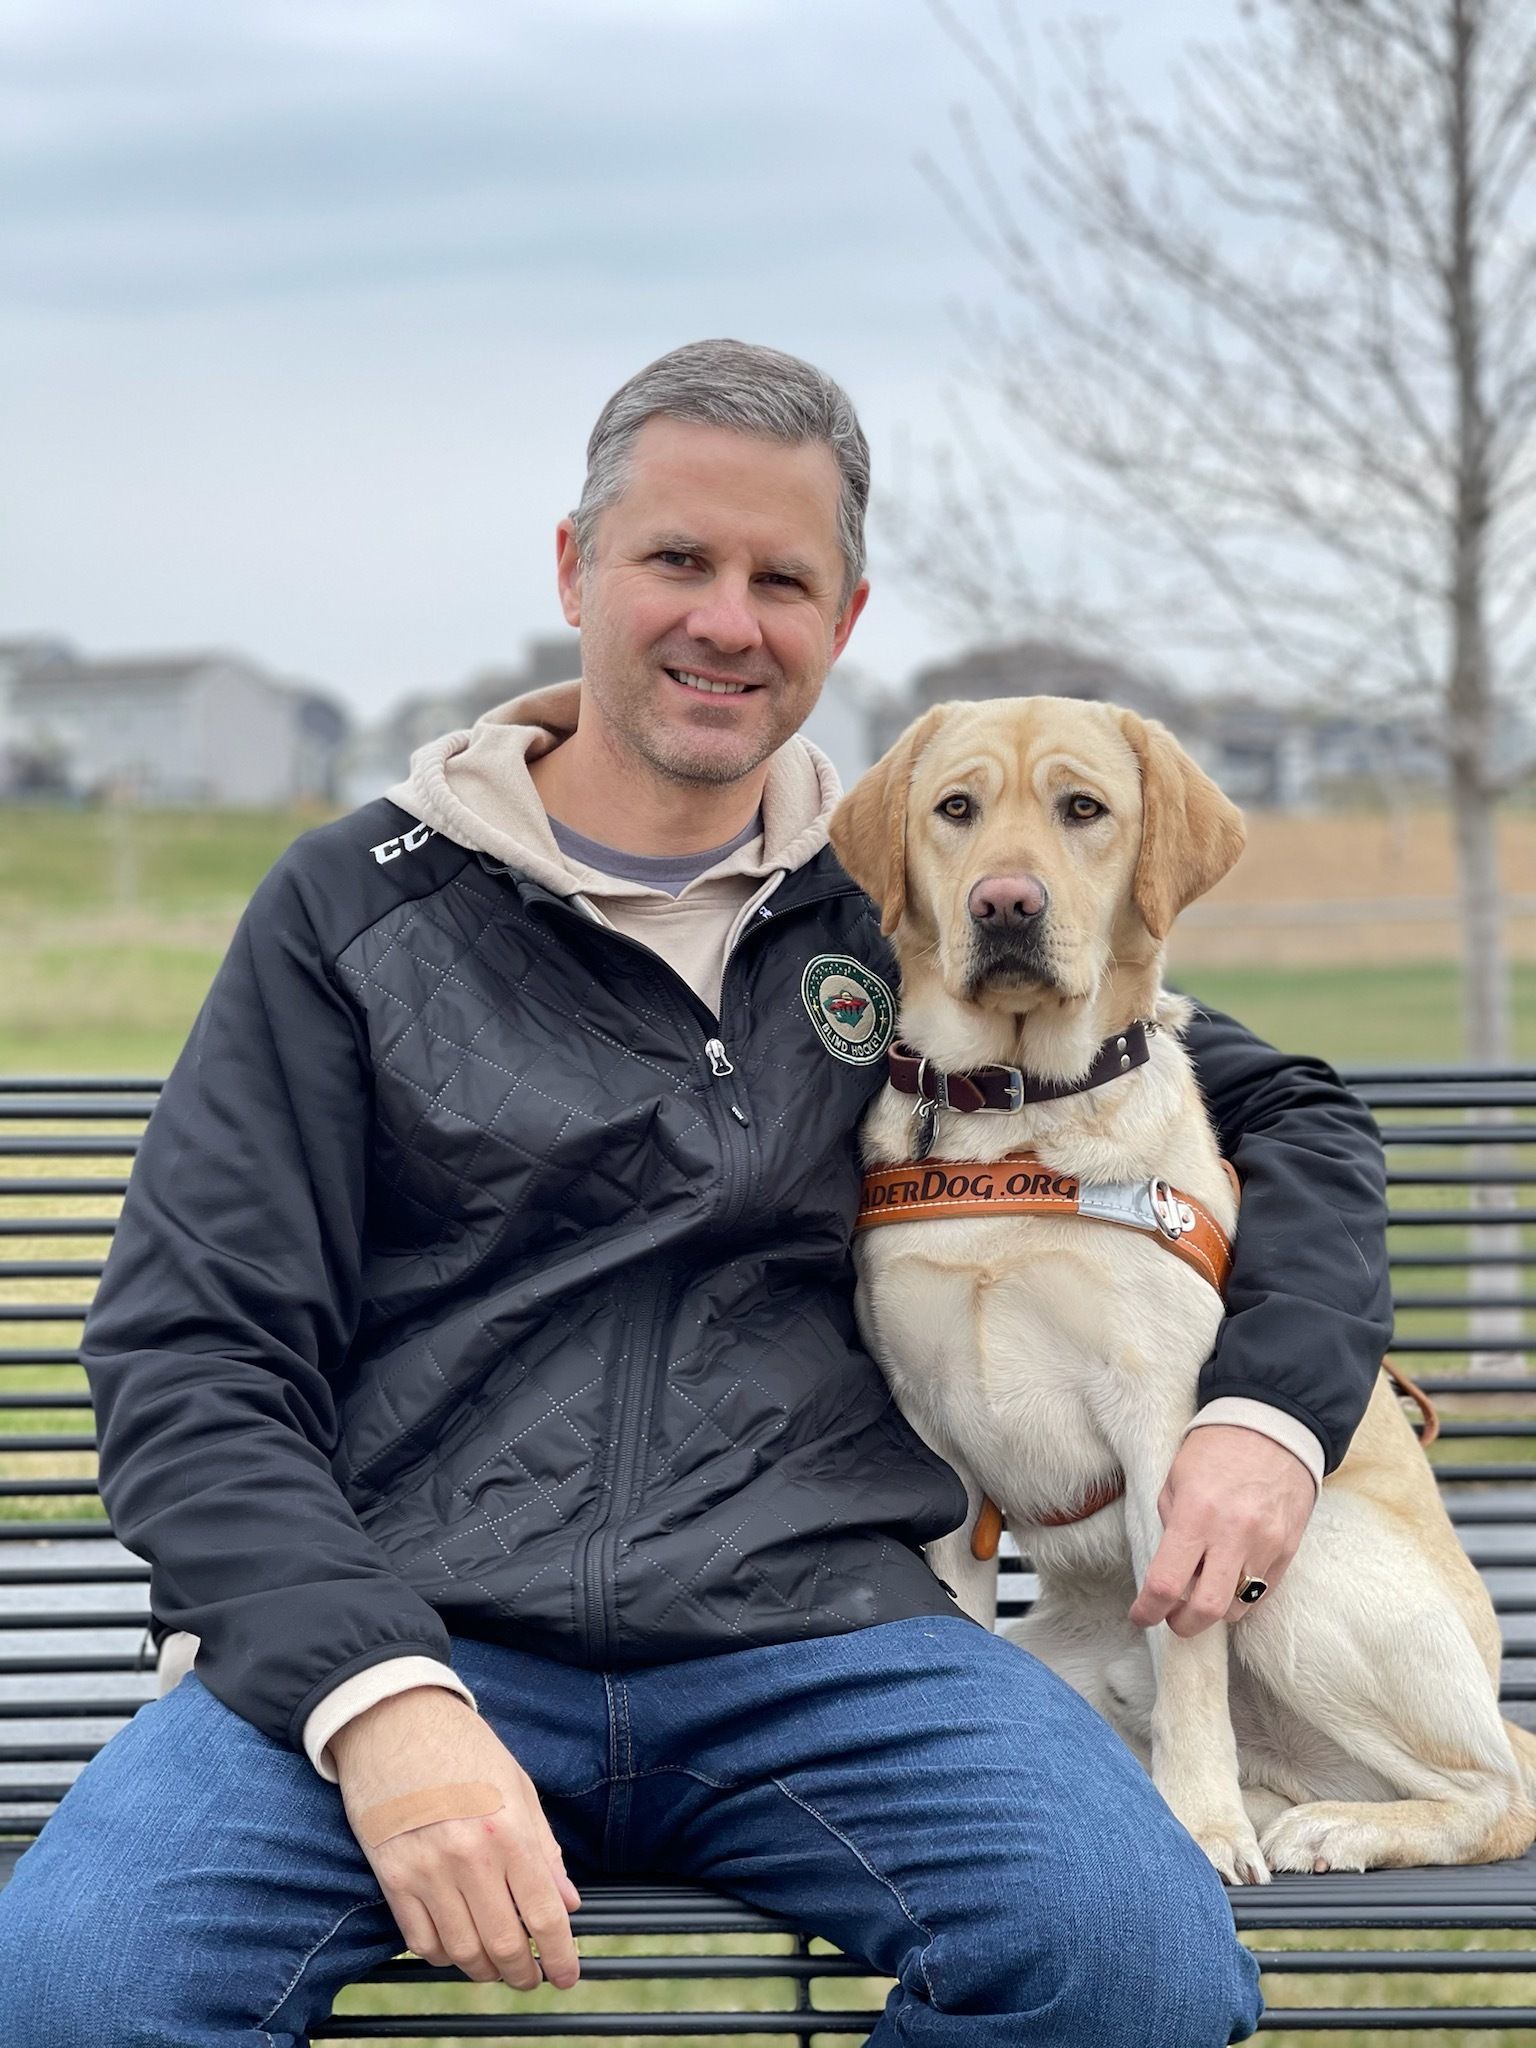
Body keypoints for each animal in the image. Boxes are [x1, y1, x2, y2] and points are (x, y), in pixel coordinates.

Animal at [831, 696, 1536, 1875]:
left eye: (1084, 810)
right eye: (956, 809)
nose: (1005, 902)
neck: (1018, 1114)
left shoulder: (1169, 1433)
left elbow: (1193, 1662)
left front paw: (1200, 1824)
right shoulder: (931, 1443)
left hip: (1305, 1567)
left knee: (1499, 1790)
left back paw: (1329, 1825)